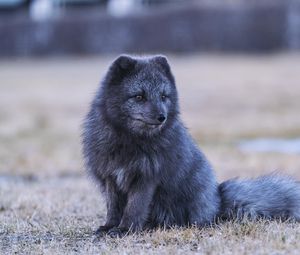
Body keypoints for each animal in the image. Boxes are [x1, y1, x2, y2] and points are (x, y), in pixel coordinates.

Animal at [81, 54, 300, 238]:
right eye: (139, 96)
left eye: (163, 96)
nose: (162, 117)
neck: (130, 141)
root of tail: (217, 201)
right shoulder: (110, 176)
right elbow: (113, 208)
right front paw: (109, 227)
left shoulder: (146, 178)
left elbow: (133, 208)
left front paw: (125, 229)